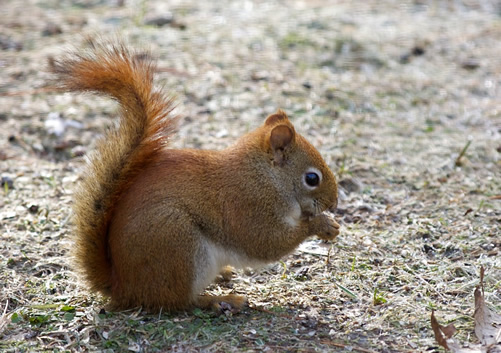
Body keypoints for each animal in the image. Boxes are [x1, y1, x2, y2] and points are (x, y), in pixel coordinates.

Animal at [49, 40, 340, 312]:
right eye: (312, 179)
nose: (334, 203)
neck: (265, 177)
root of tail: (122, 286)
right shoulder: (247, 206)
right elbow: (266, 242)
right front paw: (321, 224)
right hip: (179, 244)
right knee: (180, 301)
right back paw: (220, 299)